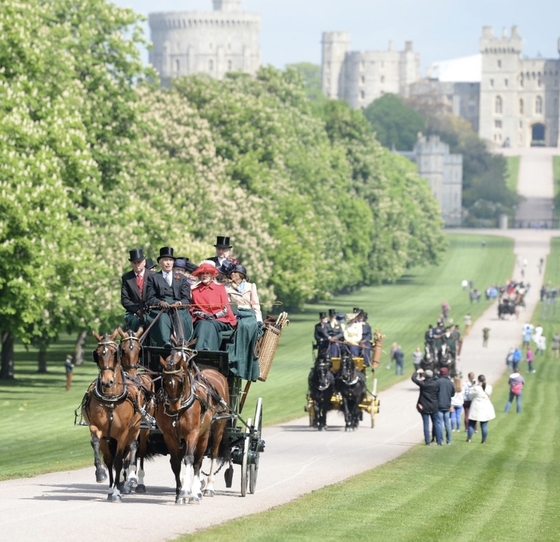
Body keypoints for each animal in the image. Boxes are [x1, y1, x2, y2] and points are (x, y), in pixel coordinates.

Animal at [84, 332, 144, 506]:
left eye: (114, 353)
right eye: (97, 354)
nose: (106, 381)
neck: (111, 399)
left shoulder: (122, 433)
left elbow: (118, 461)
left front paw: (117, 492)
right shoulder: (99, 430)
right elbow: (103, 453)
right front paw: (101, 474)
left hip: (136, 428)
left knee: (133, 448)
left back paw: (132, 479)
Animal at [155, 344, 230, 506]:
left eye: (181, 380)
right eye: (164, 380)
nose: (174, 406)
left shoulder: (192, 434)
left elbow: (190, 459)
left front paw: (185, 492)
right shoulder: (169, 436)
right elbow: (176, 462)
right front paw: (179, 493)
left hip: (213, 430)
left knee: (204, 458)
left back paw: (204, 489)